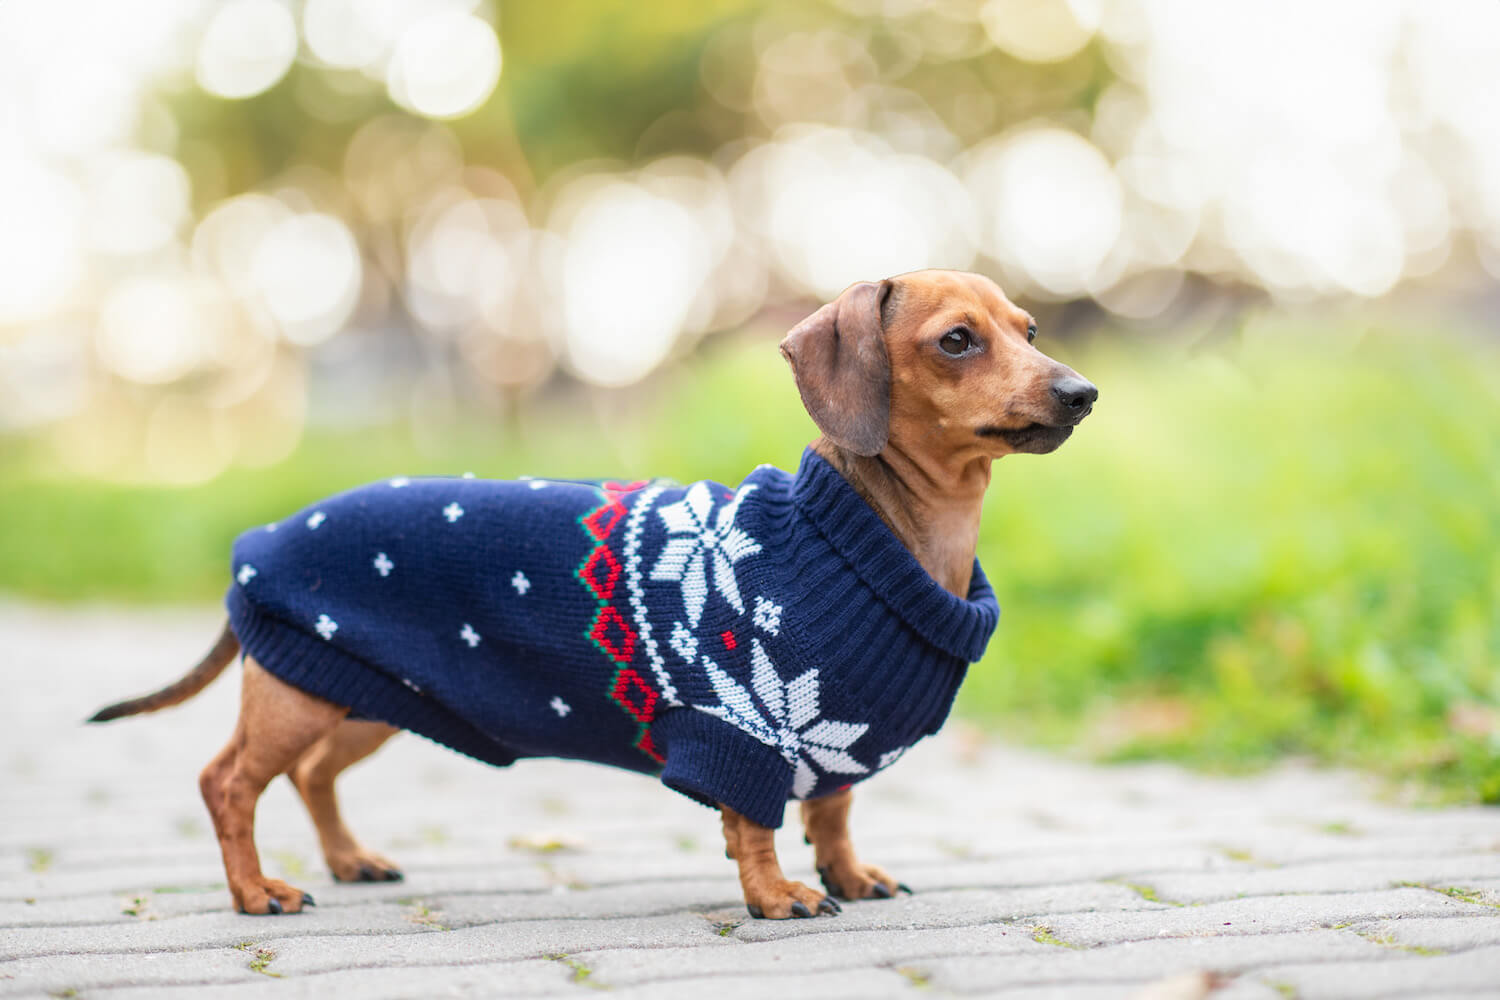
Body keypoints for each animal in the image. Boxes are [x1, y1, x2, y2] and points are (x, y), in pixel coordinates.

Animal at [87, 268, 1098, 923]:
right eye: (957, 340)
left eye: (1029, 331)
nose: (1083, 392)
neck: (868, 537)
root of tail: (259, 545)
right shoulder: (741, 734)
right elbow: (758, 824)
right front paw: (775, 895)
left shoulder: (829, 746)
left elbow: (833, 813)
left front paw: (849, 874)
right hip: (299, 693)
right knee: (230, 782)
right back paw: (254, 890)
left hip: (365, 693)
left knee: (312, 776)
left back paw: (346, 861)